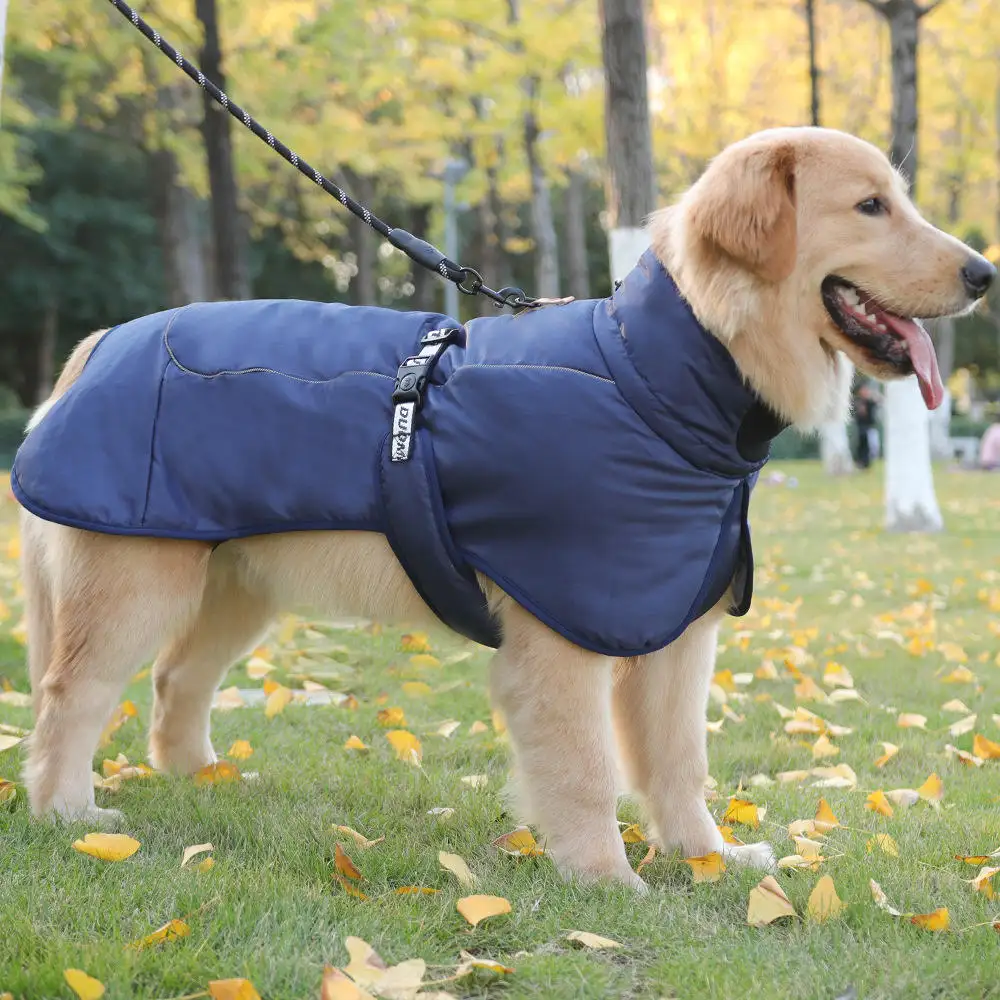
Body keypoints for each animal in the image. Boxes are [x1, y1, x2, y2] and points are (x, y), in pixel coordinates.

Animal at [9, 127, 992, 892]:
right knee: (70, 695)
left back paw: (203, 782)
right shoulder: (563, 635)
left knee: (178, 678)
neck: (660, 376)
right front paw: (605, 881)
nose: (984, 273)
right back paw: (69, 815)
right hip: (136, 584)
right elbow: (588, 768)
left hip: (236, 585)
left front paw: (705, 858)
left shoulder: (678, 631)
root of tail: (101, 341)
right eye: (870, 206)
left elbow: (680, 762)